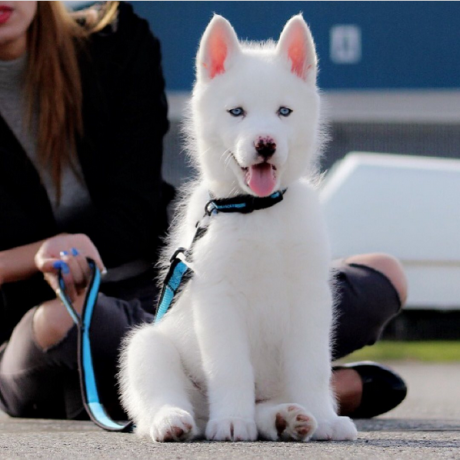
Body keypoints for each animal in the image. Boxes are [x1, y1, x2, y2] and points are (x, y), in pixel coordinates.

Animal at [118, 13, 356, 442]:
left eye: (284, 111)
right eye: (236, 112)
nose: (265, 144)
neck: (257, 208)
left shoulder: (310, 298)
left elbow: (312, 368)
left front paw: (325, 418)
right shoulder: (218, 300)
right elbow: (231, 368)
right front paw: (231, 420)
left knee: (270, 401)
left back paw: (286, 418)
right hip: (147, 345)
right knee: (158, 398)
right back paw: (174, 420)